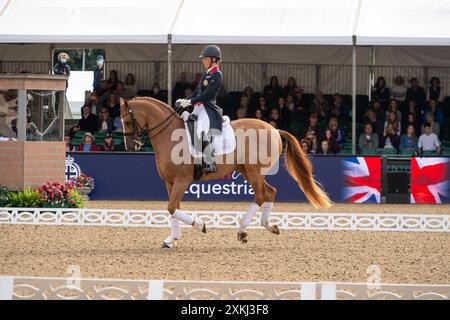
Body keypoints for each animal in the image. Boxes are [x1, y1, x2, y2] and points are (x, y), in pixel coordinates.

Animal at [118, 96, 330, 246]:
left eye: (127, 121)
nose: (130, 146)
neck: (169, 135)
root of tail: (275, 130)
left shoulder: (182, 180)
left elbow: (171, 208)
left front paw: (201, 225)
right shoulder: (169, 181)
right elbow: (173, 209)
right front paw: (172, 240)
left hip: (254, 171)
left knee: (261, 196)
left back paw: (242, 230)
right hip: (247, 171)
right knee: (270, 192)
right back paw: (268, 226)